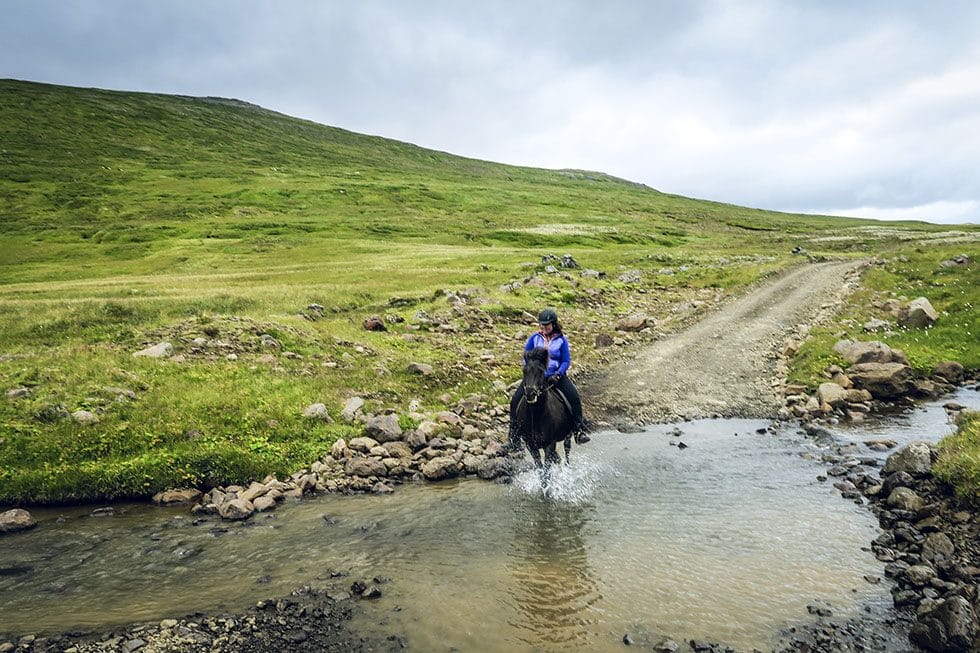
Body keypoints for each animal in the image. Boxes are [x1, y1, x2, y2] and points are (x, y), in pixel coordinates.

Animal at [512, 346, 576, 478]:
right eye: (524, 370)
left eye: (541, 371)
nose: (530, 393)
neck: (536, 415)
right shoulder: (531, 445)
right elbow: (541, 470)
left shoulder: (549, 444)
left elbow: (546, 473)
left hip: (568, 435)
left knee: (567, 452)